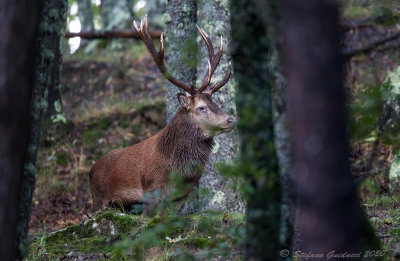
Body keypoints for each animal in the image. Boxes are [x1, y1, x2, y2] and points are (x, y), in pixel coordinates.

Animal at [89, 15, 234, 212]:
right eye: (201, 107)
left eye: (215, 102)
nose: (230, 119)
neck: (178, 173)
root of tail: (91, 170)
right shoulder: (150, 192)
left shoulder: (180, 198)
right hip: (98, 201)